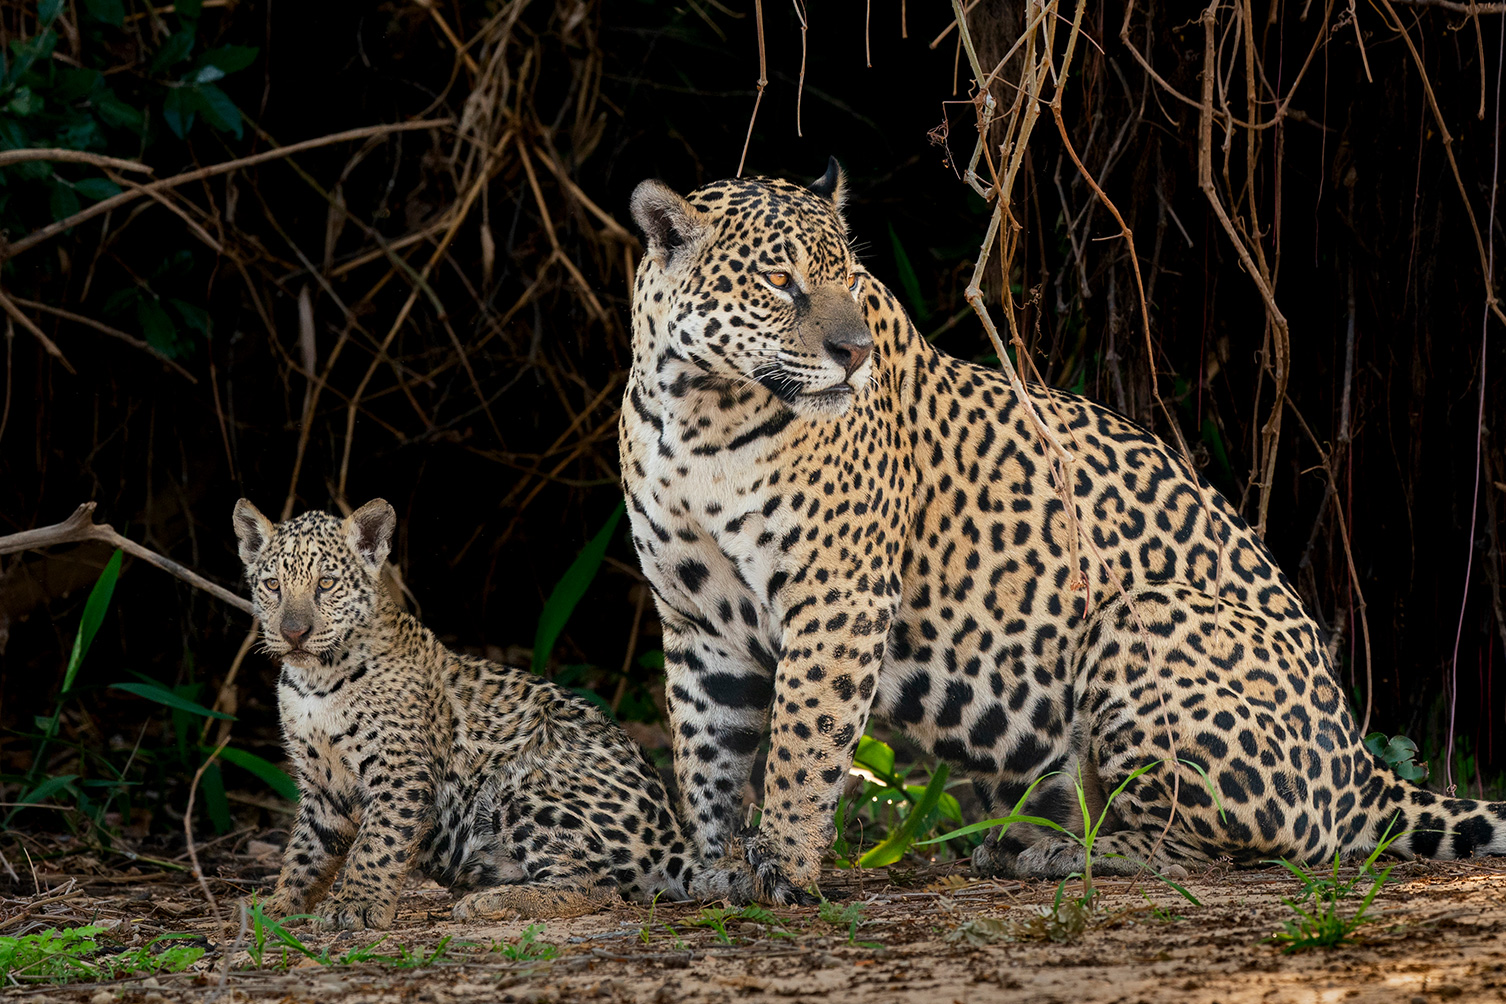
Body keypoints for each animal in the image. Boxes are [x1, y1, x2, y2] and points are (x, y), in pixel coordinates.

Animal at [232, 498, 696, 930]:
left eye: (326, 584)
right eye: (272, 585)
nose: (294, 633)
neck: (315, 681)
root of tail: (673, 840)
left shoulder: (401, 773)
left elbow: (376, 844)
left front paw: (356, 906)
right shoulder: (320, 783)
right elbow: (304, 852)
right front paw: (277, 909)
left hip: (520, 785)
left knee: (596, 884)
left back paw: (490, 902)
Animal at [618, 158, 1506, 905]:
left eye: (851, 284)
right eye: (780, 281)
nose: (854, 353)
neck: (701, 413)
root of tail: (1361, 767)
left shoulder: (838, 599)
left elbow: (806, 744)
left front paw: (788, 867)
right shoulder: (697, 620)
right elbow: (706, 749)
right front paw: (713, 866)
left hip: (1142, 618)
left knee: (1216, 846)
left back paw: (1063, 853)